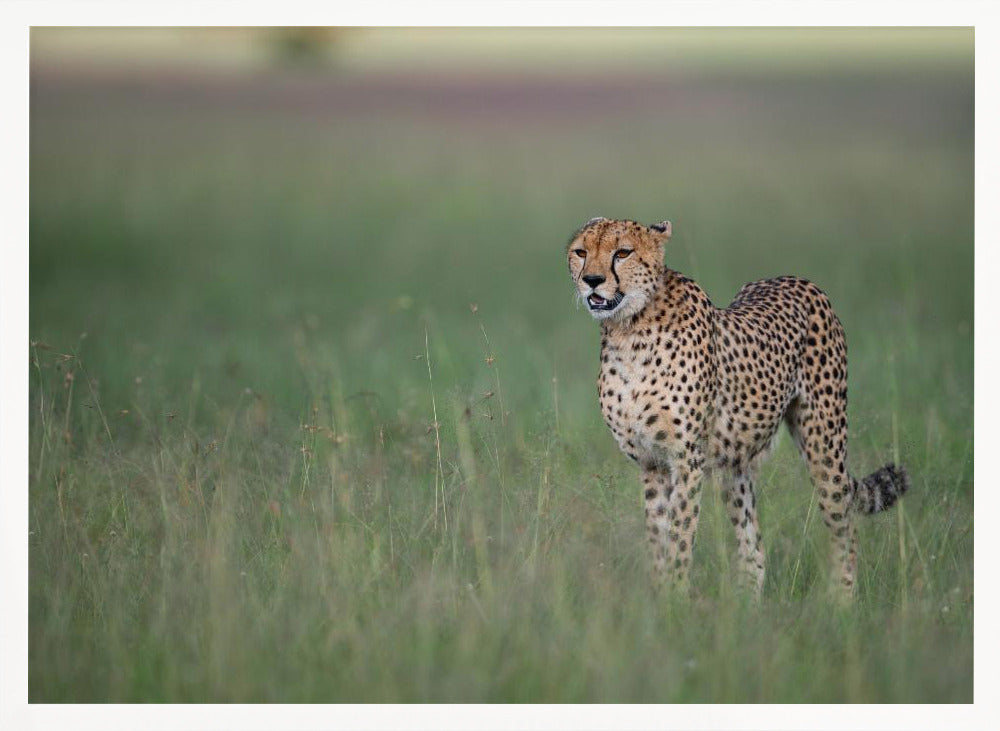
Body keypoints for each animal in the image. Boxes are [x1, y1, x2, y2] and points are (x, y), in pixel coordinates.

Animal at [566, 216, 909, 599]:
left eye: (622, 252)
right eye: (581, 252)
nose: (592, 280)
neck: (628, 330)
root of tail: (795, 279)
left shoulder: (687, 459)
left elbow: (680, 537)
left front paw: (675, 600)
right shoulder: (652, 462)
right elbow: (658, 537)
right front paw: (659, 597)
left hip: (824, 444)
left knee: (844, 524)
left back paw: (842, 602)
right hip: (735, 467)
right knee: (754, 549)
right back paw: (749, 607)